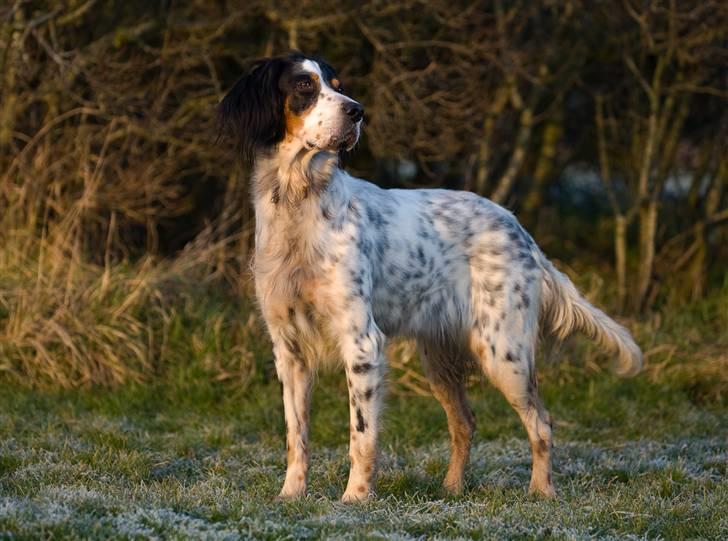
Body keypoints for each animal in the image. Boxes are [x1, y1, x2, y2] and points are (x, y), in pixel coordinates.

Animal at [219, 52, 640, 500]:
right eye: (304, 86)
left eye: (338, 85)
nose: (357, 111)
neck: (299, 200)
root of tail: (521, 231)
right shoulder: (289, 349)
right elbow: (295, 435)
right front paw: (291, 495)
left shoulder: (361, 341)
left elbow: (361, 435)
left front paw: (355, 498)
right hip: (439, 357)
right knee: (465, 422)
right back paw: (452, 488)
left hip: (503, 352)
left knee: (541, 423)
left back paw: (541, 492)